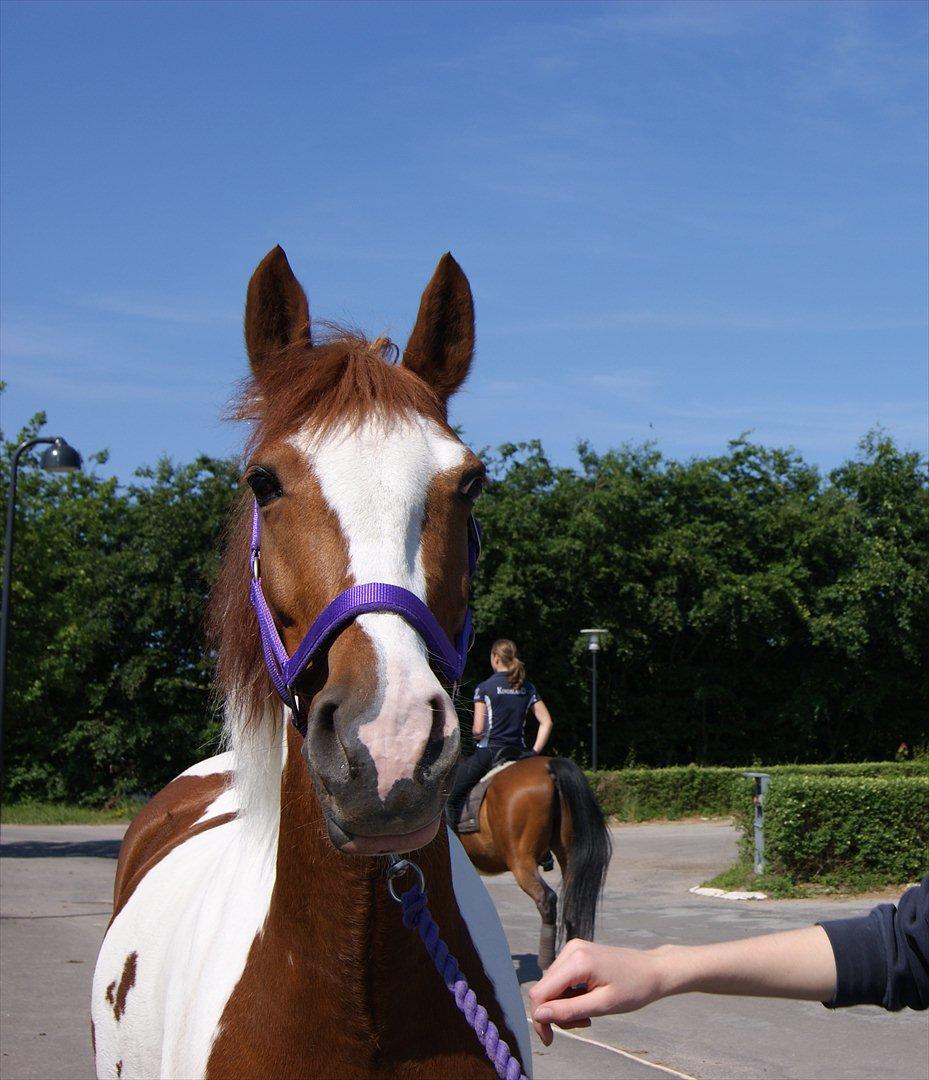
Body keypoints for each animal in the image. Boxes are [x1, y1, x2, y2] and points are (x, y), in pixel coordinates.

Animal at [455, 751, 609, 972]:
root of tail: (547, 767)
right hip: (566, 852)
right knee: (572, 899)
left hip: (521, 861)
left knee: (546, 899)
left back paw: (547, 964)